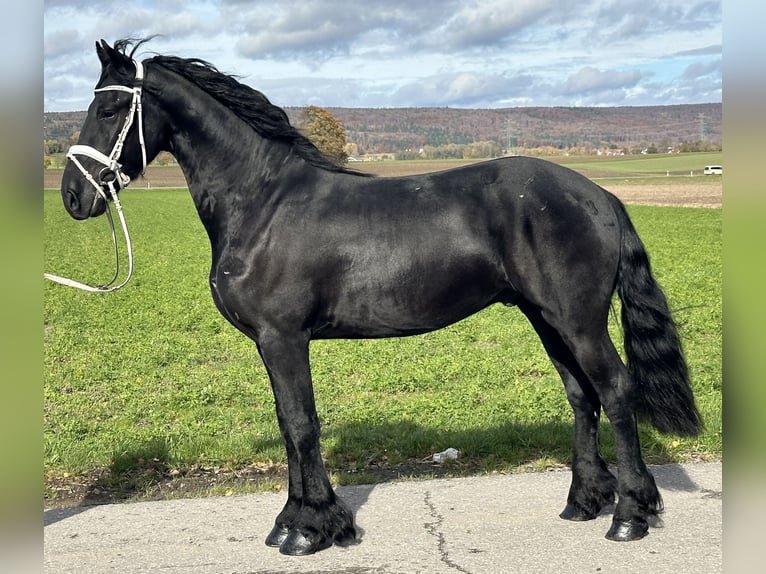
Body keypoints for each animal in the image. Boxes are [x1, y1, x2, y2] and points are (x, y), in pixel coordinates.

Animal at [56, 38, 701, 556]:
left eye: (109, 108)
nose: (72, 198)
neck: (263, 203)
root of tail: (601, 196)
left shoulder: (283, 338)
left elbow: (301, 425)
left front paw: (308, 528)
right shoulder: (271, 344)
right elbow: (289, 425)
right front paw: (301, 521)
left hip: (579, 320)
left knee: (615, 390)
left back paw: (629, 515)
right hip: (546, 319)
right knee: (581, 395)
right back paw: (583, 501)